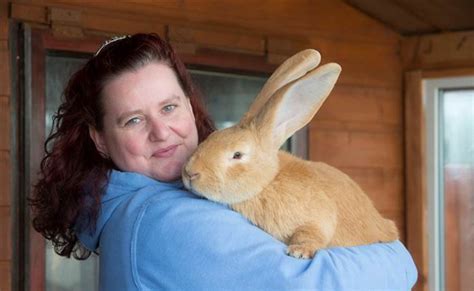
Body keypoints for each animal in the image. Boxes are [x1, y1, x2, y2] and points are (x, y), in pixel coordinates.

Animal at [183, 49, 398, 258]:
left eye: (237, 155)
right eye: (210, 137)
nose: (189, 172)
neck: (267, 182)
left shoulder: (319, 218)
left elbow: (310, 233)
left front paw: (299, 251)